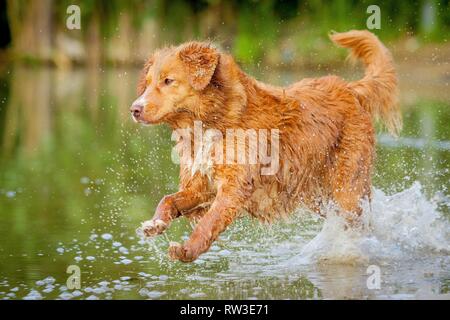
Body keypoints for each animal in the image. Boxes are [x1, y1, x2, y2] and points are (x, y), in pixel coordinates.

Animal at [130, 30, 400, 262]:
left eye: (168, 80)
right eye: (148, 82)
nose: (135, 109)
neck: (213, 121)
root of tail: (350, 89)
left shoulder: (234, 187)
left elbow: (209, 222)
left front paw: (187, 250)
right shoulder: (201, 185)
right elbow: (168, 199)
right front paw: (155, 224)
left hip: (346, 188)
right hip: (318, 194)